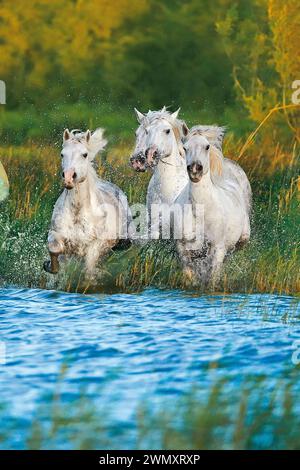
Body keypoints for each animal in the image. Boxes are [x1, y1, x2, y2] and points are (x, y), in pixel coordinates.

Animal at [44, 127, 132, 280]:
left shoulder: (96, 245)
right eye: (62, 154)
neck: (78, 212)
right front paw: (50, 266)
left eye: (84, 155)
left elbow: (89, 269)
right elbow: (55, 249)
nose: (68, 178)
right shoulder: (56, 234)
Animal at [176, 125, 251, 284]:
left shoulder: (217, 248)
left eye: (207, 146)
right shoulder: (183, 247)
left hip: (243, 238)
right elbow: (189, 274)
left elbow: (212, 276)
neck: (201, 212)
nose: (195, 169)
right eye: (185, 148)